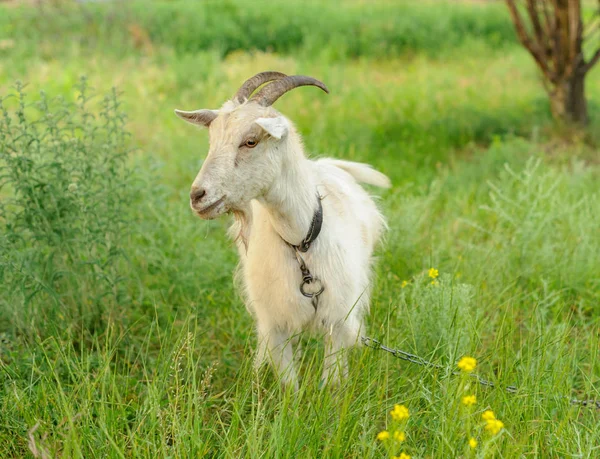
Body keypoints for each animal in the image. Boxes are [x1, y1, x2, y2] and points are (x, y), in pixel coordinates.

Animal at [175, 72, 390, 388]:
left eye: (250, 141)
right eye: (212, 140)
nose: (197, 196)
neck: (301, 243)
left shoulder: (338, 318)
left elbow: (332, 382)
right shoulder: (276, 322)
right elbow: (290, 386)